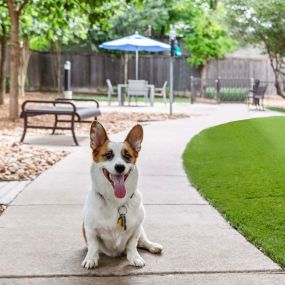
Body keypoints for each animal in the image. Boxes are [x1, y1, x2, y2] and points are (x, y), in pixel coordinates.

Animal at [81, 121, 162, 268]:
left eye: (128, 157)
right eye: (108, 155)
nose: (120, 167)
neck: (115, 201)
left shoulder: (136, 228)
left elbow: (132, 244)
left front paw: (134, 257)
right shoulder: (90, 229)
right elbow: (93, 245)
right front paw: (91, 258)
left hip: (142, 229)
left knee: (142, 241)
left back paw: (153, 246)